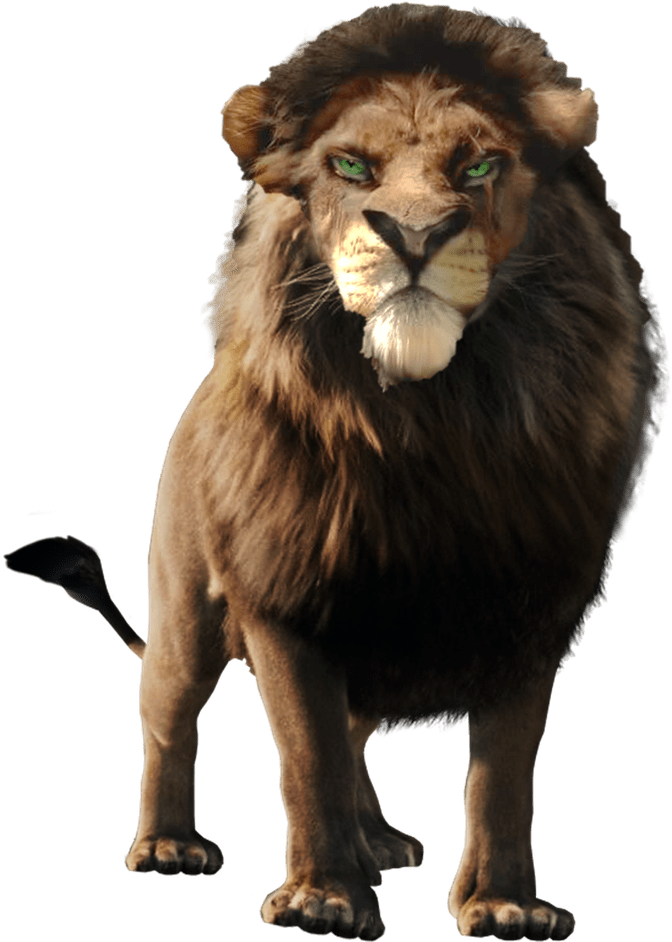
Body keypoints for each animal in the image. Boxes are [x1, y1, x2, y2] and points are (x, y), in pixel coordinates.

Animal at [5, 4, 660, 940]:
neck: (427, 423)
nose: (416, 234)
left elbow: (501, 774)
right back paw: (168, 844)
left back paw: (377, 838)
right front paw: (323, 899)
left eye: (480, 164)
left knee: (353, 737)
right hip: (185, 616)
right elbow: (305, 756)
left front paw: (503, 903)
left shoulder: (534, 603)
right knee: (168, 716)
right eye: (350, 166)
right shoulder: (287, 601)